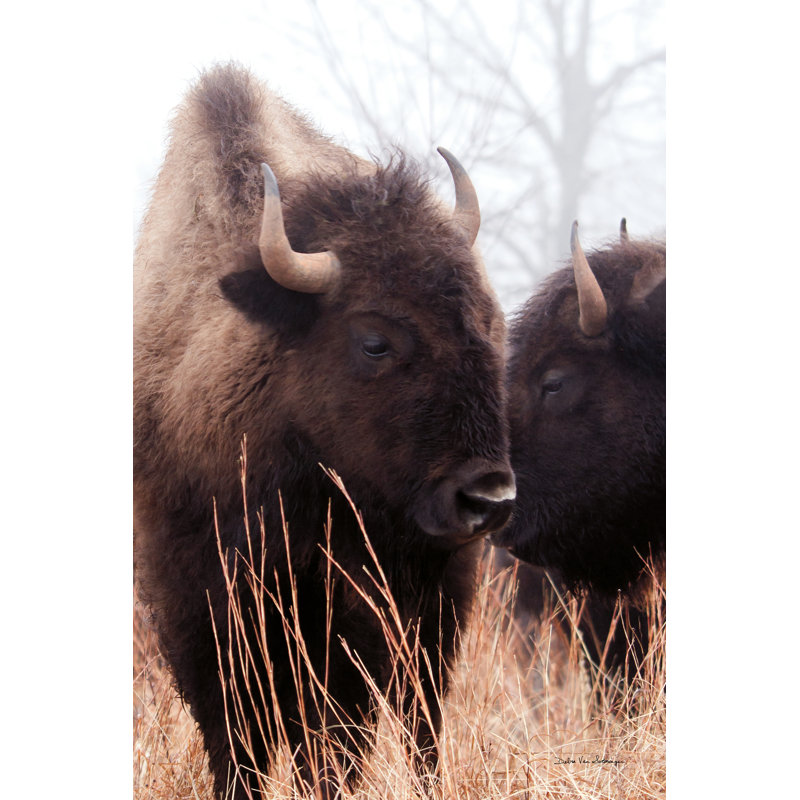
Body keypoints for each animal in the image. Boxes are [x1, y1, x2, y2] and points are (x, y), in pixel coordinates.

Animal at [133, 64, 515, 798]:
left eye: (491, 325)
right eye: (374, 341)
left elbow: (334, 739)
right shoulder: (196, 606)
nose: (487, 498)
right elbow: (237, 740)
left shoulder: (358, 618)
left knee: (419, 723)